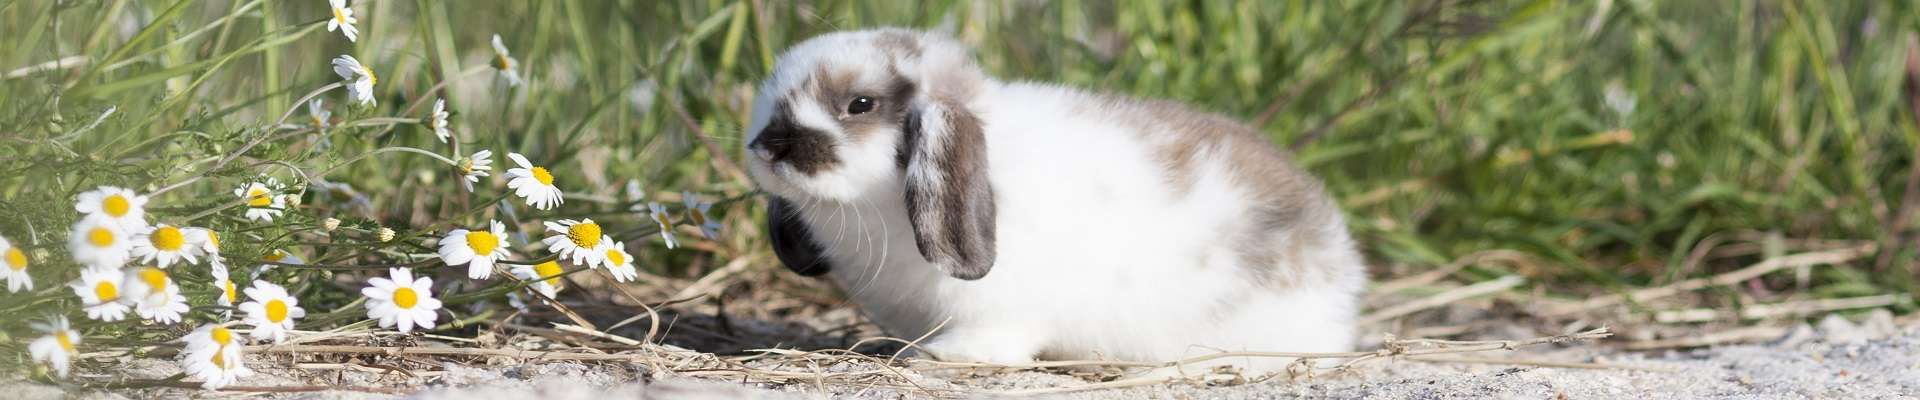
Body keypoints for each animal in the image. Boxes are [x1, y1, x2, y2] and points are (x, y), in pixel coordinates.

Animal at [743, 29, 1367, 373]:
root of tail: (1343, 266)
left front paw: (945, 357)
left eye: (860, 104)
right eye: (768, 93)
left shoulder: (1001, 310)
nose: (768, 145)